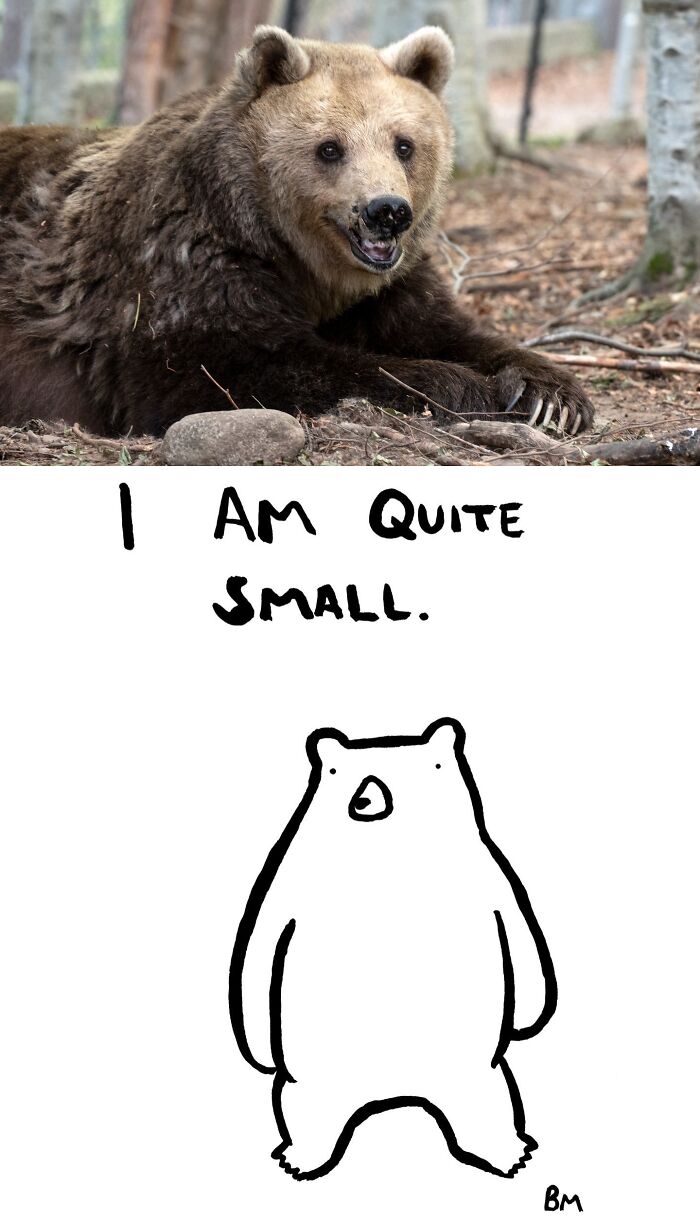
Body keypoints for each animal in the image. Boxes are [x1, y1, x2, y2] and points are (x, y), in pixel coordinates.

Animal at [0, 26, 593, 438]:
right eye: (329, 147)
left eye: (404, 144)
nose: (386, 210)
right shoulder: (182, 267)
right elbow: (234, 366)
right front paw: (471, 387)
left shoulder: (386, 290)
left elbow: (448, 328)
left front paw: (550, 394)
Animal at [229, 718, 557, 1180]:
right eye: (336, 774)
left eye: (434, 766)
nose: (369, 798)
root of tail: (395, 1097)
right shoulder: (283, 887)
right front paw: (260, 1053)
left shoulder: (494, 879)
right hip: (313, 1087)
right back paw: (303, 1159)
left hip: (478, 1078)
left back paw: (506, 1153)